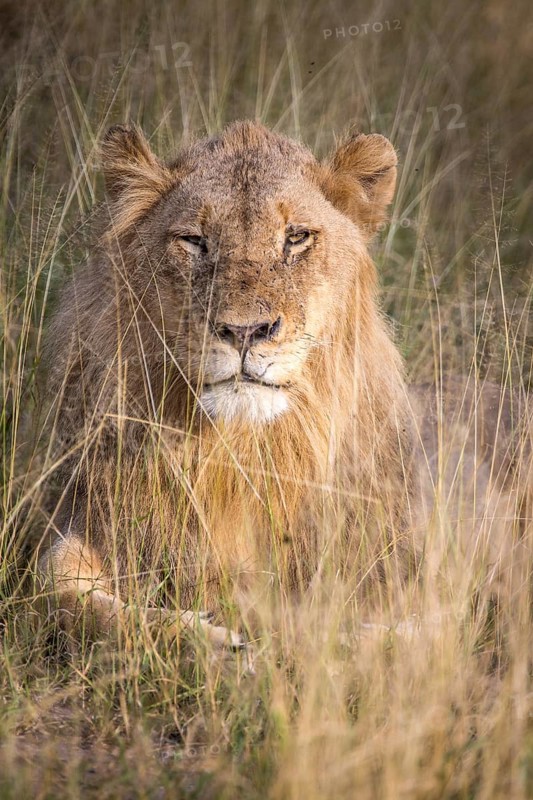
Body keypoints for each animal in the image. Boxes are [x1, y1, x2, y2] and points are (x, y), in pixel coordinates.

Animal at [36, 121, 532, 656]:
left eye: (296, 238)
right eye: (194, 240)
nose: (244, 331)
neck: (238, 456)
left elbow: (416, 628)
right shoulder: (92, 524)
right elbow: (60, 588)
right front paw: (216, 646)